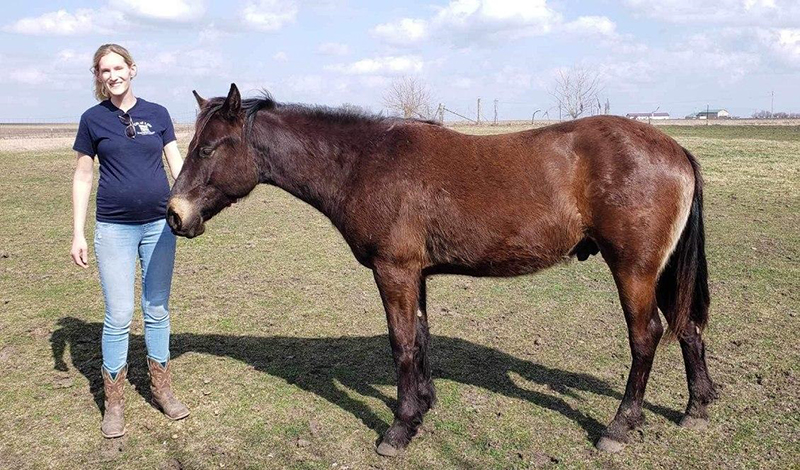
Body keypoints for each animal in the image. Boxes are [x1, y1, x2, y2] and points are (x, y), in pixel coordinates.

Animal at [169, 84, 720, 456]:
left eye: (209, 148)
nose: (175, 214)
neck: (365, 162)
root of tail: (674, 149)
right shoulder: (416, 275)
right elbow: (420, 336)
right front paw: (422, 407)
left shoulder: (393, 271)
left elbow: (401, 342)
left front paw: (398, 429)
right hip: (661, 272)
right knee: (688, 327)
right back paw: (696, 408)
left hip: (634, 270)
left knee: (647, 335)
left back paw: (620, 427)